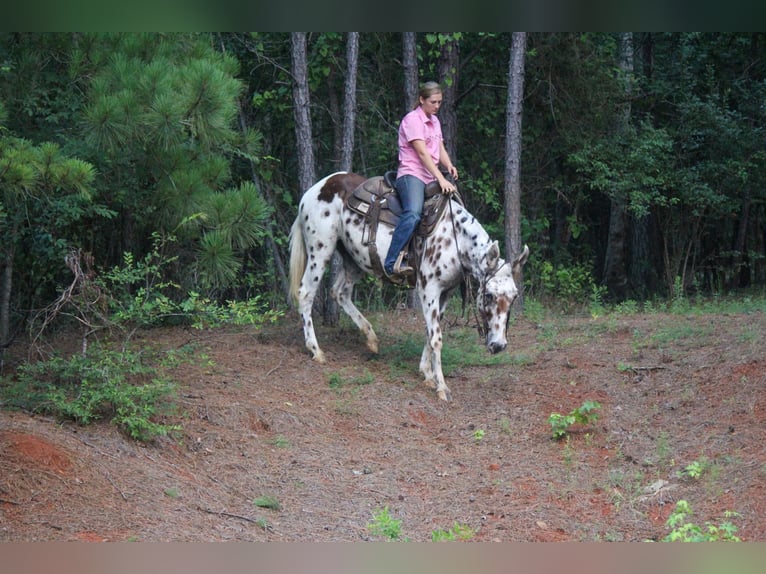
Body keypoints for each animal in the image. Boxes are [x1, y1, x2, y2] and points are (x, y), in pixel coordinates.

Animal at [288, 173, 528, 402]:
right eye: (488, 295)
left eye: (514, 297)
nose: (499, 345)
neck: (455, 240)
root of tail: (313, 191)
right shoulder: (429, 289)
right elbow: (436, 338)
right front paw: (442, 387)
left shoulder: (445, 293)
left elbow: (430, 332)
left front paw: (427, 374)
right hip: (320, 251)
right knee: (306, 293)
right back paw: (316, 350)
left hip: (353, 259)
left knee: (340, 293)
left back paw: (371, 338)